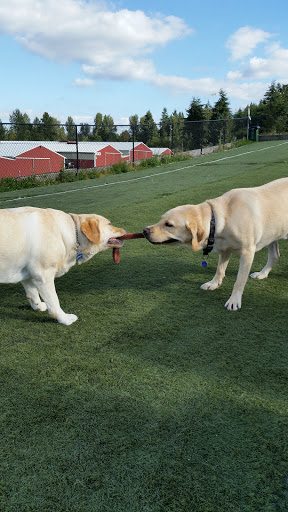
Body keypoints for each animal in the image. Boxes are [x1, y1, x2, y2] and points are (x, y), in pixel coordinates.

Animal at [143, 178, 288, 310]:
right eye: (161, 219)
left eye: (169, 225)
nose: (144, 230)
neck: (220, 219)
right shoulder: (225, 249)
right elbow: (220, 269)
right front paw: (213, 284)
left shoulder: (247, 253)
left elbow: (239, 280)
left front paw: (234, 300)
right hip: (273, 234)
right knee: (275, 256)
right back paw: (262, 274)